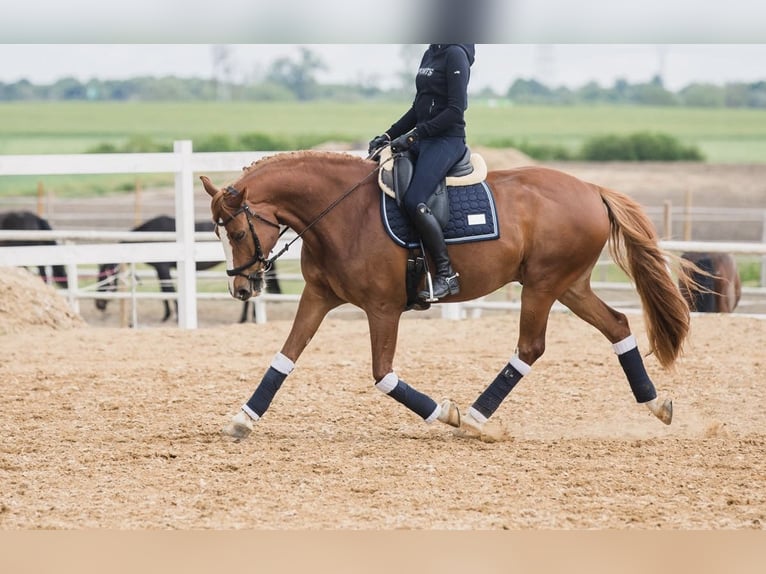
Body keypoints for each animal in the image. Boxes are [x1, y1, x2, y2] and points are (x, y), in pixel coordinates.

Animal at [96, 216, 282, 324]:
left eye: (105, 277)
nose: (99, 304)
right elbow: (166, 291)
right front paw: (168, 315)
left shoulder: (162, 268)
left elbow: (169, 291)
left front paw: (174, 316)